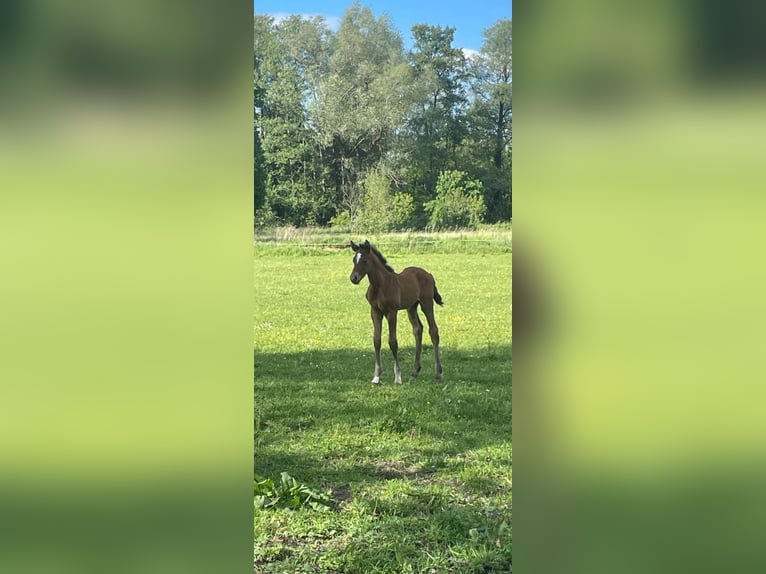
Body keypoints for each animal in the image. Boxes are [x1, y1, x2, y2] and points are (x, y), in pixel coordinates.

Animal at [350, 241, 444, 384]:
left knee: (433, 330)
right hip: (412, 307)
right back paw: (415, 371)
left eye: (365, 261)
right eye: (354, 260)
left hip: (426, 303)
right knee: (418, 329)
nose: (353, 278)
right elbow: (376, 340)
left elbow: (393, 342)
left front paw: (398, 377)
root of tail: (429, 274)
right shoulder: (375, 311)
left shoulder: (392, 312)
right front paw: (376, 376)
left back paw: (438, 373)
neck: (380, 285)